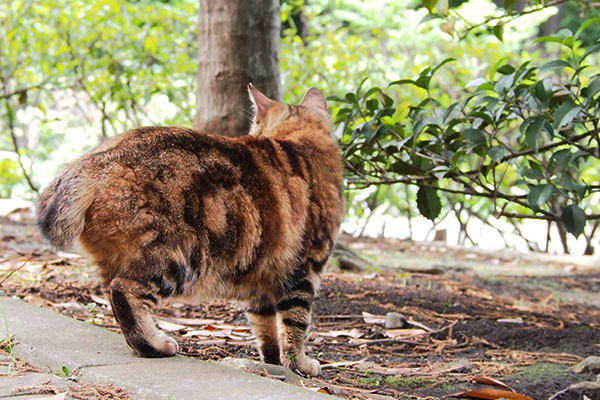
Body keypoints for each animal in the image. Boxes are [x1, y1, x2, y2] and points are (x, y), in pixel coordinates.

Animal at [37, 86, 344, 376]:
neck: (300, 142)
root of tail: (99, 159)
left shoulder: (264, 279)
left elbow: (266, 331)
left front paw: (274, 364)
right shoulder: (305, 269)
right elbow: (295, 324)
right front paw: (300, 364)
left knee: (113, 297)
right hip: (181, 258)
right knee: (123, 291)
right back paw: (155, 344)